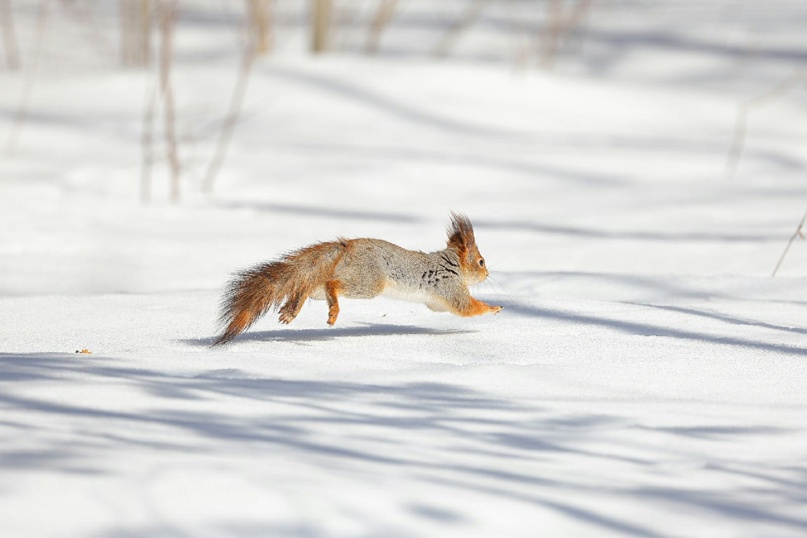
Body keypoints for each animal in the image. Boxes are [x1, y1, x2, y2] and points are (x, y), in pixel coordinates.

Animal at [218, 211, 502, 342]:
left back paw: (291, 310)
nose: (488, 273)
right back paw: (331, 311)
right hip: (368, 282)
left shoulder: (437, 300)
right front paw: (494, 308)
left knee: (308, 285)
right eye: (481, 262)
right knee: (331, 284)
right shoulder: (449, 286)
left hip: (329, 283)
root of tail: (345, 248)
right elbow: (466, 308)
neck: (451, 264)